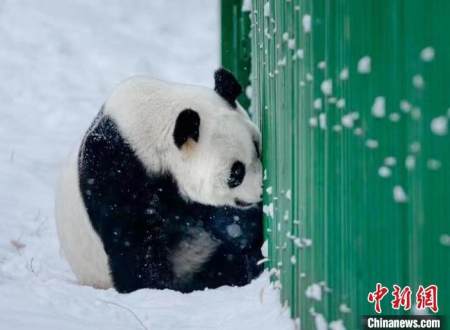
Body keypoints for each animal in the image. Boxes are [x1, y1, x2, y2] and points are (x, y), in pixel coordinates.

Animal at [55, 68, 264, 292]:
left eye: (258, 148)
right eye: (236, 172)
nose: (260, 191)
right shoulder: (114, 172)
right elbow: (133, 242)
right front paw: (155, 287)